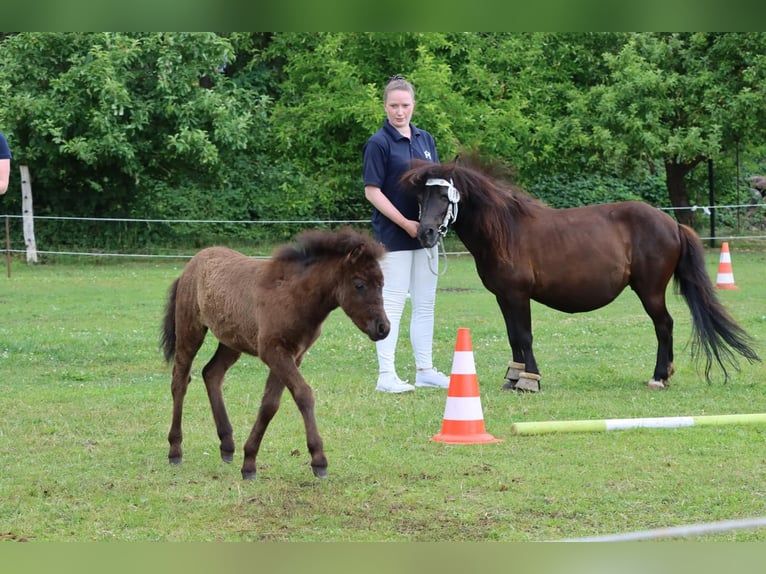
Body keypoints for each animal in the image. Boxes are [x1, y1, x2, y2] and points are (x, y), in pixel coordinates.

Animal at [159, 227, 390, 480]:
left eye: (382, 284)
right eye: (359, 284)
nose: (383, 328)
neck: (294, 295)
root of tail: (192, 264)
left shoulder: (293, 355)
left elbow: (270, 404)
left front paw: (249, 461)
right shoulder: (274, 352)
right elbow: (303, 394)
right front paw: (319, 459)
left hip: (232, 341)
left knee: (212, 373)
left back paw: (227, 444)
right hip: (190, 331)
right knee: (180, 381)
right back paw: (175, 449)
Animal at [400, 156, 760, 392]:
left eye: (444, 195)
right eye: (421, 196)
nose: (425, 233)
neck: (505, 231)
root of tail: (671, 223)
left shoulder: (518, 295)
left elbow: (524, 336)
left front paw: (530, 380)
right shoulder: (504, 297)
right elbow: (514, 337)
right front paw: (513, 378)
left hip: (650, 290)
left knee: (664, 325)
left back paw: (659, 376)